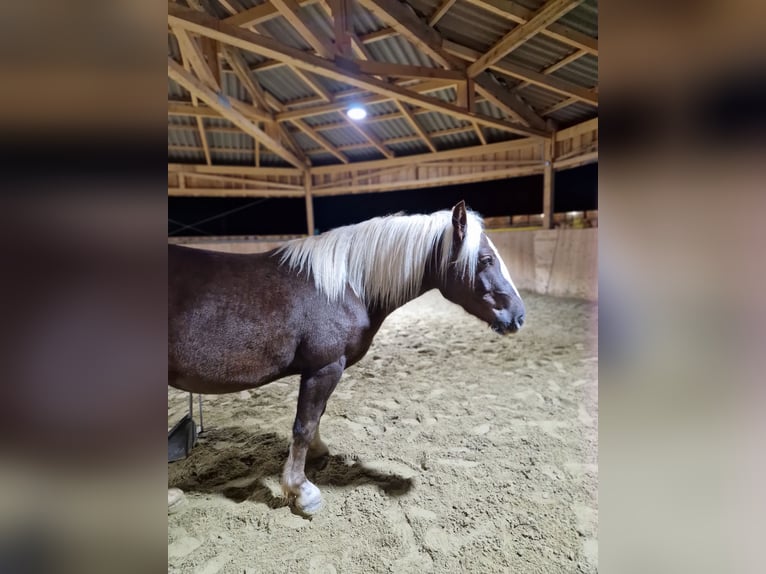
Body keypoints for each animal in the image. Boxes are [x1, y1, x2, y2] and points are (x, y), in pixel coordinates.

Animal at [168, 201, 525, 515]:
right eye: (485, 260)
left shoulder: (323, 370)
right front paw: (301, 490)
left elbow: (315, 419)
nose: (519, 316)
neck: (344, 286)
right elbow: (304, 424)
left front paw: (317, 456)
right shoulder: (325, 368)